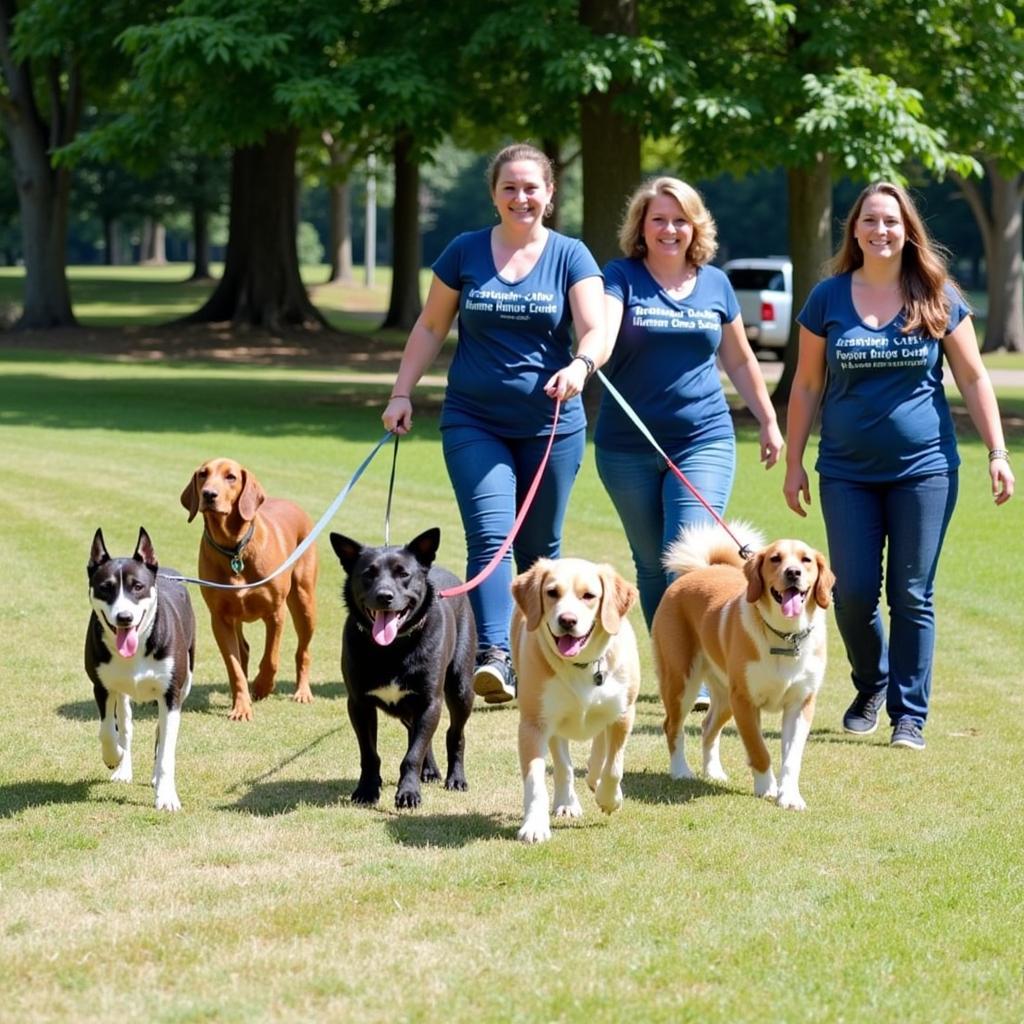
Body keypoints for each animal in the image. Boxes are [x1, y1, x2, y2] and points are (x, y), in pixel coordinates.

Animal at [85, 528, 195, 806]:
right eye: (105, 588)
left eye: (138, 587)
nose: (124, 617)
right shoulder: (101, 686)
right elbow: (107, 731)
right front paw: (113, 757)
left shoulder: (171, 693)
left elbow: (167, 746)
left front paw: (166, 796)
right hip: (122, 692)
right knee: (125, 725)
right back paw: (123, 767)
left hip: (186, 681)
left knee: (160, 730)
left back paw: (156, 777)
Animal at [329, 528, 477, 806]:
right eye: (368, 574)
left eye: (403, 574)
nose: (384, 596)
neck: (392, 648)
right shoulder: (359, 704)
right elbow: (370, 754)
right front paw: (367, 790)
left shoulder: (430, 702)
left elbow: (412, 755)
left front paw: (408, 792)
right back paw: (429, 770)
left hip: (461, 688)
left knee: (454, 734)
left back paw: (455, 778)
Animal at [512, 561, 638, 839]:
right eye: (552, 592)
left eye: (589, 596)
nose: (567, 620)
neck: (582, 665)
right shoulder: (533, 724)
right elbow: (536, 780)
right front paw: (534, 825)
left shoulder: (624, 713)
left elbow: (614, 767)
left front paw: (609, 798)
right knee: (563, 766)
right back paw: (567, 801)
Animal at [651, 524, 835, 811]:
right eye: (775, 558)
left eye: (806, 560)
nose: (793, 572)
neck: (785, 636)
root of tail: (697, 571)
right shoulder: (745, 701)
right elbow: (759, 750)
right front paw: (767, 788)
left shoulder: (801, 703)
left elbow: (792, 758)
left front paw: (789, 797)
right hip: (682, 682)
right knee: (672, 726)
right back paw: (681, 771)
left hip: (725, 696)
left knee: (707, 727)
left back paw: (713, 772)